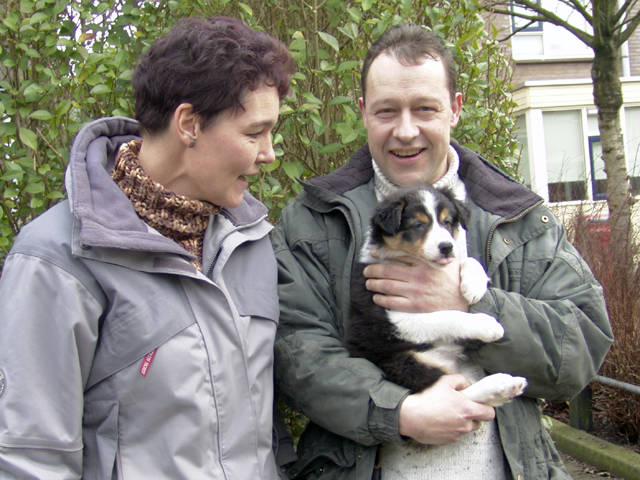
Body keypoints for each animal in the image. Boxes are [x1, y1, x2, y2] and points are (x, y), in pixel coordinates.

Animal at [346, 184, 527, 406]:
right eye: (418, 225)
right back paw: (501, 385)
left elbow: (467, 260)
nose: (446, 247)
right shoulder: (395, 318)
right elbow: (447, 316)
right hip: (403, 362)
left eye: (447, 222)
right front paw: (487, 324)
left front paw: (474, 286)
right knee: (455, 395)